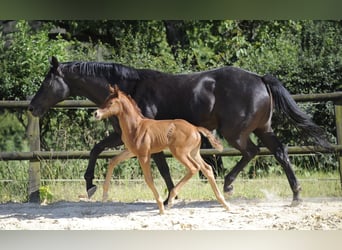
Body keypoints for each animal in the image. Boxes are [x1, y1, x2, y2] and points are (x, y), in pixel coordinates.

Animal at [94, 85, 230, 214]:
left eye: (111, 103)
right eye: (105, 100)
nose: (96, 113)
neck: (135, 127)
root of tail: (195, 128)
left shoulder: (143, 155)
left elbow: (148, 179)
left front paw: (160, 207)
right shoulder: (131, 151)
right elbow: (113, 161)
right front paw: (104, 196)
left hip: (180, 153)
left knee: (193, 168)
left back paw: (171, 199)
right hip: (194, 153)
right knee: (207, 169)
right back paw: (224, 203)